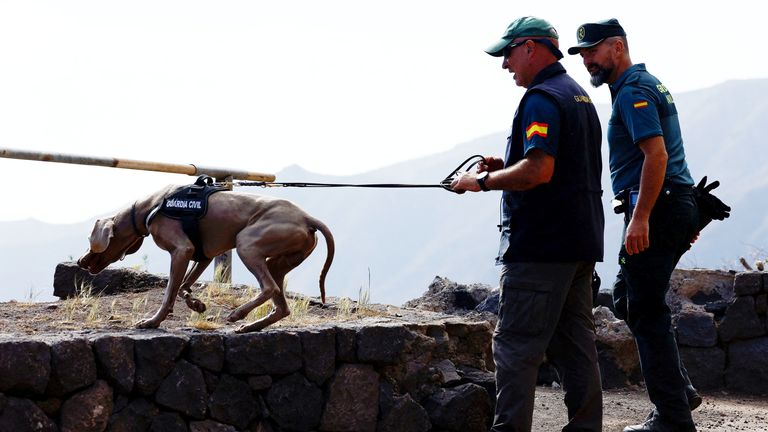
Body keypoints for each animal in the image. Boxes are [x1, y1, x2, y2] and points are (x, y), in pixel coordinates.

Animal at [76, 181, 336, 332]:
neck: (150, 207)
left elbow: (170, 291)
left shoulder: (182, 250)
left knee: (269, 287)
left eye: (90, 242)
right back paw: (251, 326)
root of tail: (307, 218)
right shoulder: (203, 255)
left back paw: (238, 314)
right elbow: (183, 286)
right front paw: (196, 304)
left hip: (247, 243)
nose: (80, 262)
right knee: (281, 305)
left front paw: (153, 321)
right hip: (279, 260)